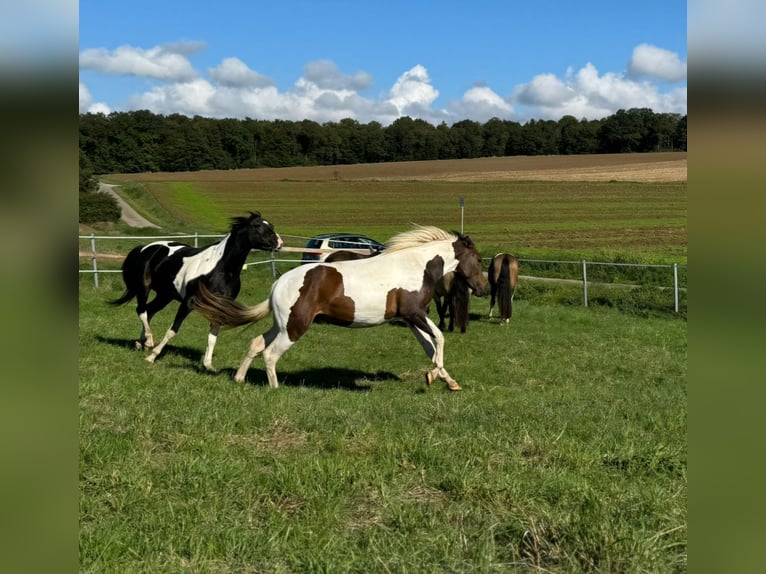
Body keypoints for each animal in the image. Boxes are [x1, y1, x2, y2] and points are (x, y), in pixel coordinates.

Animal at [109, 212, 282, 369]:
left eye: (271, 226)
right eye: (258, 226)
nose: (279, 243)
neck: (221, 268)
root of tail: (144, 248)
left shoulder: (219, 307)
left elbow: (213, 336)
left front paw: (208, 365)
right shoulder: (188, 302)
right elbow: (173, 330)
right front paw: (153, 356)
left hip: (165, 295)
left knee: (149, 311)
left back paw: (142, 344)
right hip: (143, 288)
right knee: (142, 311)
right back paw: (149, 342)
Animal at [191, 226, 488, 391]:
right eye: (477, 258)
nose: (483, 288)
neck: (415, 266)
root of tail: (278, 284)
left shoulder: (410, 318)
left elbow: (430, 346)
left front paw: (448, 381)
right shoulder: (415, 313)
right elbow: (439, 339)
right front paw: (433, 375)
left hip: (281, 324)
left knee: (256, 344)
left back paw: (240, 379)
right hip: (295, 327)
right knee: (271, 354)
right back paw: (275, 388)